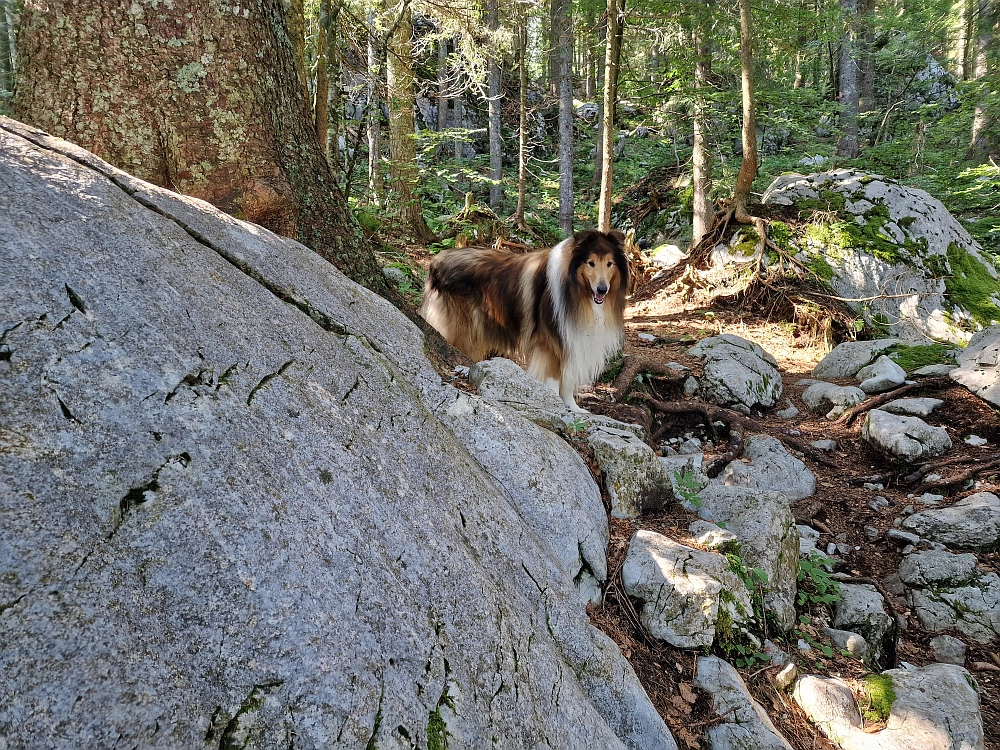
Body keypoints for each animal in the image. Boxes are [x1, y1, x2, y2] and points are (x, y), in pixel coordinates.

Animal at [420, 232, 624, 414]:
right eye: (591, 263)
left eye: (609, 263)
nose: (602, 289)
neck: (575, 290)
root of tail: (437, 259)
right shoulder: (550, 341)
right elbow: (553, 377)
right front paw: (555, 403)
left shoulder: (572, 339)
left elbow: (567, 378)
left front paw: (574, 408)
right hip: (463, 329)